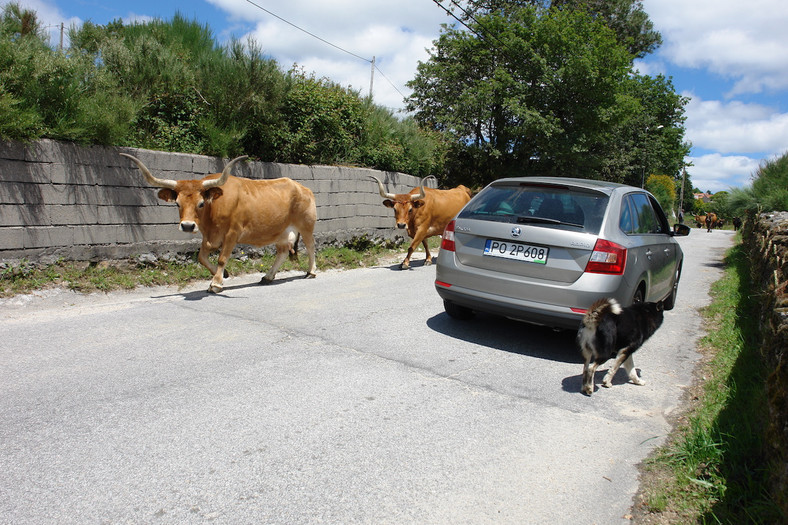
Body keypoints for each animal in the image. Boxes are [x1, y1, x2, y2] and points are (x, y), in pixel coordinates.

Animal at [121, 151, 318, 292]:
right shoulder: (209, 237)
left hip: (306, 226)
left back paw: (311, 272)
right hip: (282, 231)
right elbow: (201, 257)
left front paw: (216, 283)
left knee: (310, 247)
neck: (214, 209)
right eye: (177, 203)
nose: (187, 226)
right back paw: (267, 277)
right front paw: (225, 275)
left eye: (201, 203)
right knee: (283, 252)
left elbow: (222, 258)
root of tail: (303, 188)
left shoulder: (232, 233)